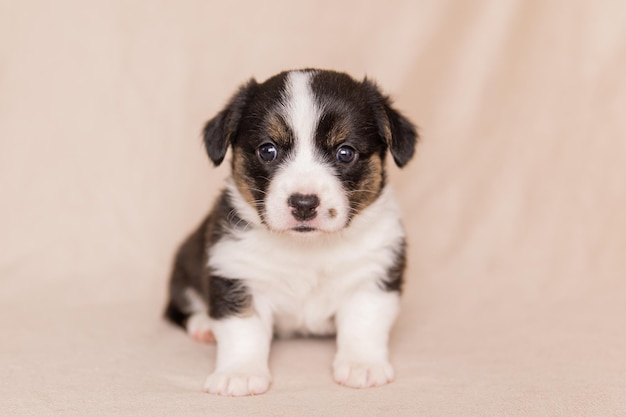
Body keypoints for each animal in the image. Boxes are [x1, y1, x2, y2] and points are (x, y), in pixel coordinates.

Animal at [166, 68, 416, 394]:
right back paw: (204, 325)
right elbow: (242, 330)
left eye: (345, 152)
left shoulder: (373, 274)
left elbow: (364, 323)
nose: (304, 204)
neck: (306, 247)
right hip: (185, 263)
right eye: (267, 150)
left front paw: (362, 366)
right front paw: (239, 373)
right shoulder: (236, 273)